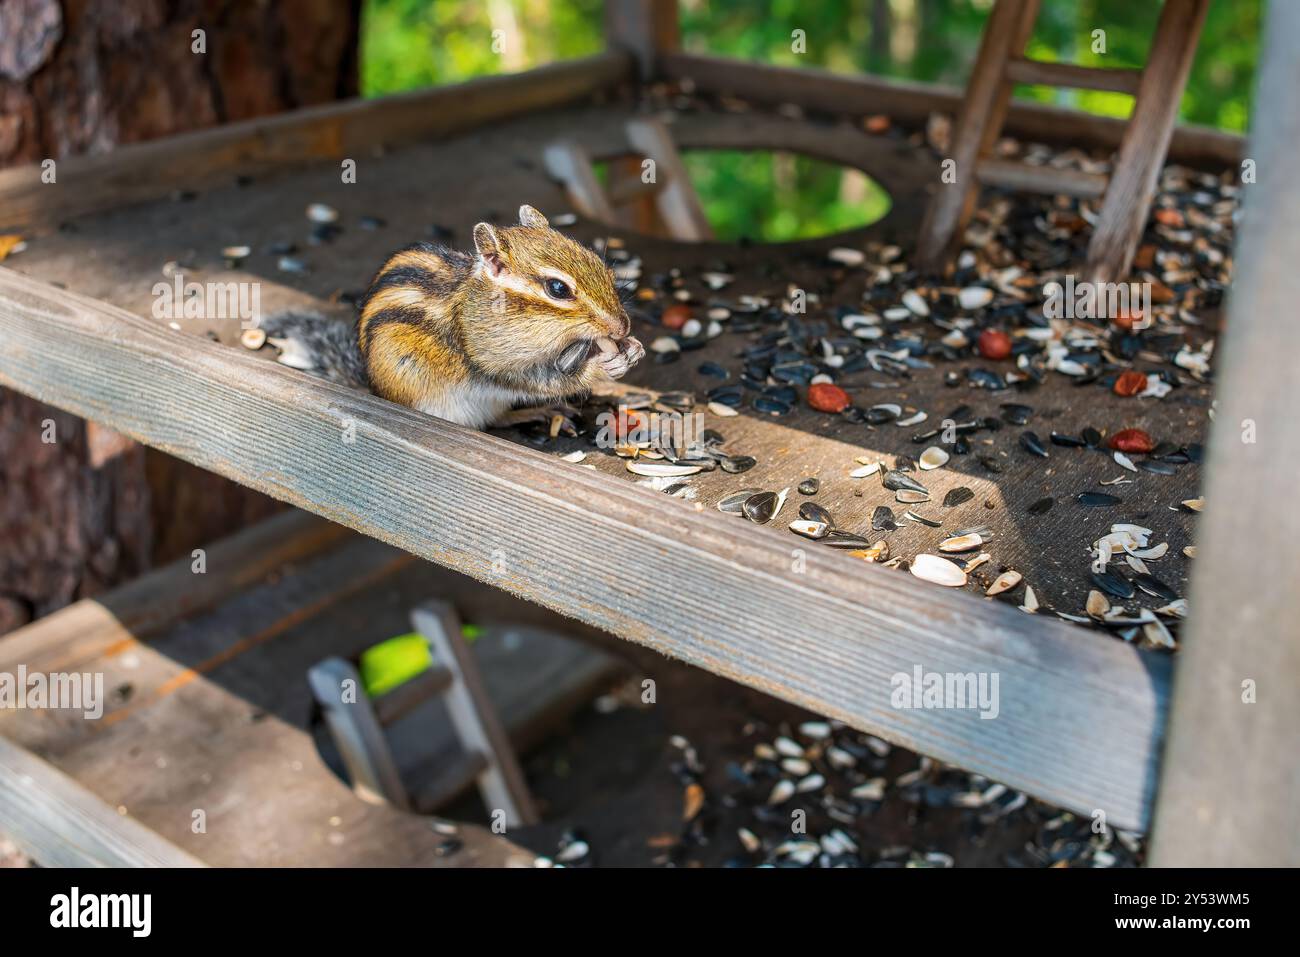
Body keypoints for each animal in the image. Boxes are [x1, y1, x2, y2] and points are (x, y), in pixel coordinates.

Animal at [262, 205, 643, 429]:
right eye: (558, 288)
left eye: (598, 261)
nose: (622, 325)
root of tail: (373, 389)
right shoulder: (488, 357)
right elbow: (538, 380)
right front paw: (603, 365)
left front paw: (632, 348)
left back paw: (537, 412)